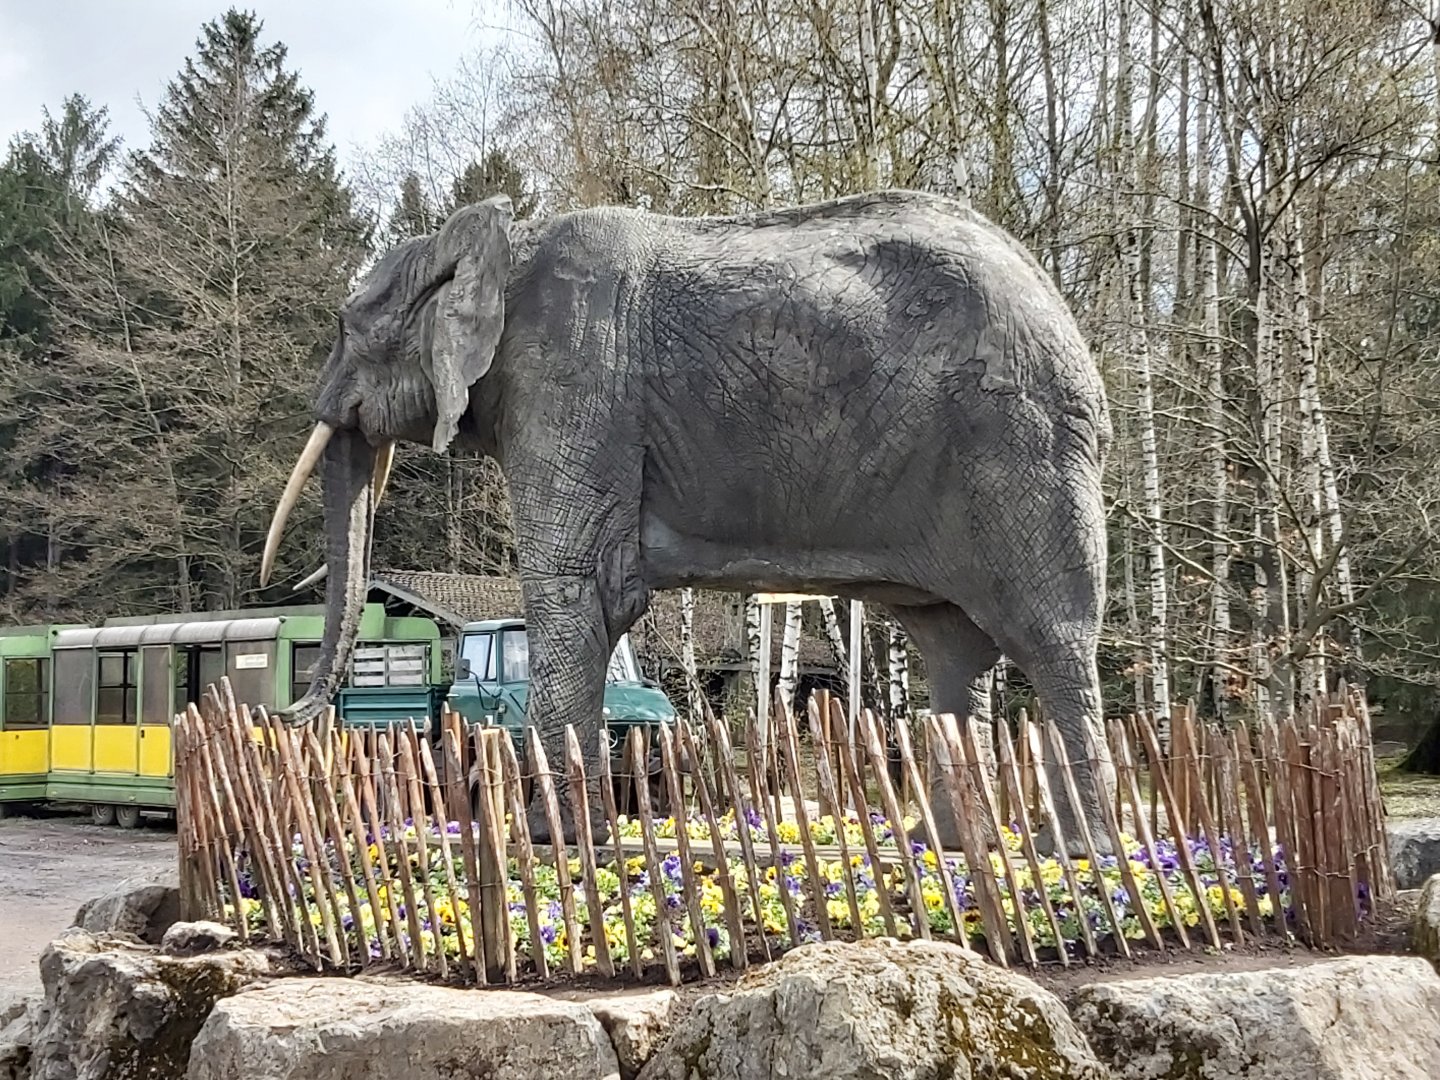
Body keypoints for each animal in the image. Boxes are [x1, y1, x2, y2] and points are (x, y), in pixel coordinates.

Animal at [259, 188, 1117, 855]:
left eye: (347, 324)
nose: (286, 710)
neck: (498, 243)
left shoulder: (571, 380)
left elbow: (575, 592)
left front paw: (551, 840)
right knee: (951, 648)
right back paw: (941, 843)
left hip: (1022, 445)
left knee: (1050, 638)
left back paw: (1074, 849)